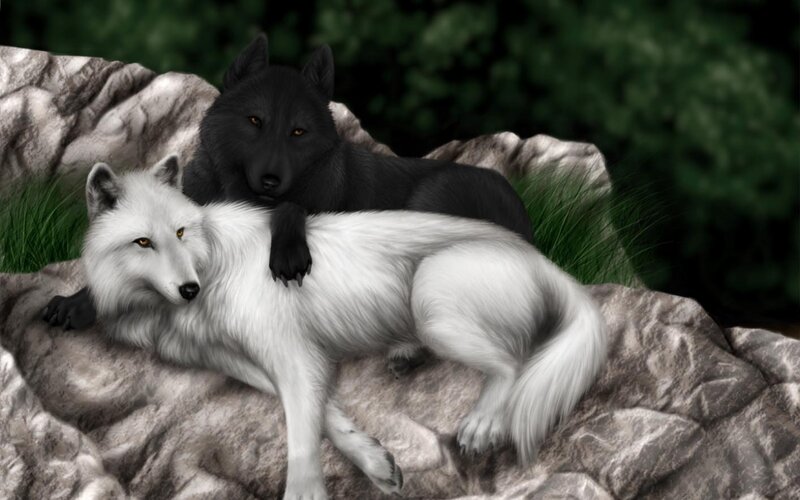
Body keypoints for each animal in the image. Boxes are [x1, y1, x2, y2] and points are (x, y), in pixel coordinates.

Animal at [44, 34, 532, 375]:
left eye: (298, 131)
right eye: (254, 121)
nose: (271, 180)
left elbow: (293, 209)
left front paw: (289, 252)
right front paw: (75, 302)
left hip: (430, 204)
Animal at [82, 156, 607, 499]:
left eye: (181, 233)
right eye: (143, 242)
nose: (189, 289)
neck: (212, 262)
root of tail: (542, 259)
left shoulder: (292, 356)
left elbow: (301, 438)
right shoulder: (249, 362)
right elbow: (327, 414)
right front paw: (375, 461)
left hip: (432, 299)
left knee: (513, 362)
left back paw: (482, 424)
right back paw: (404, 355)